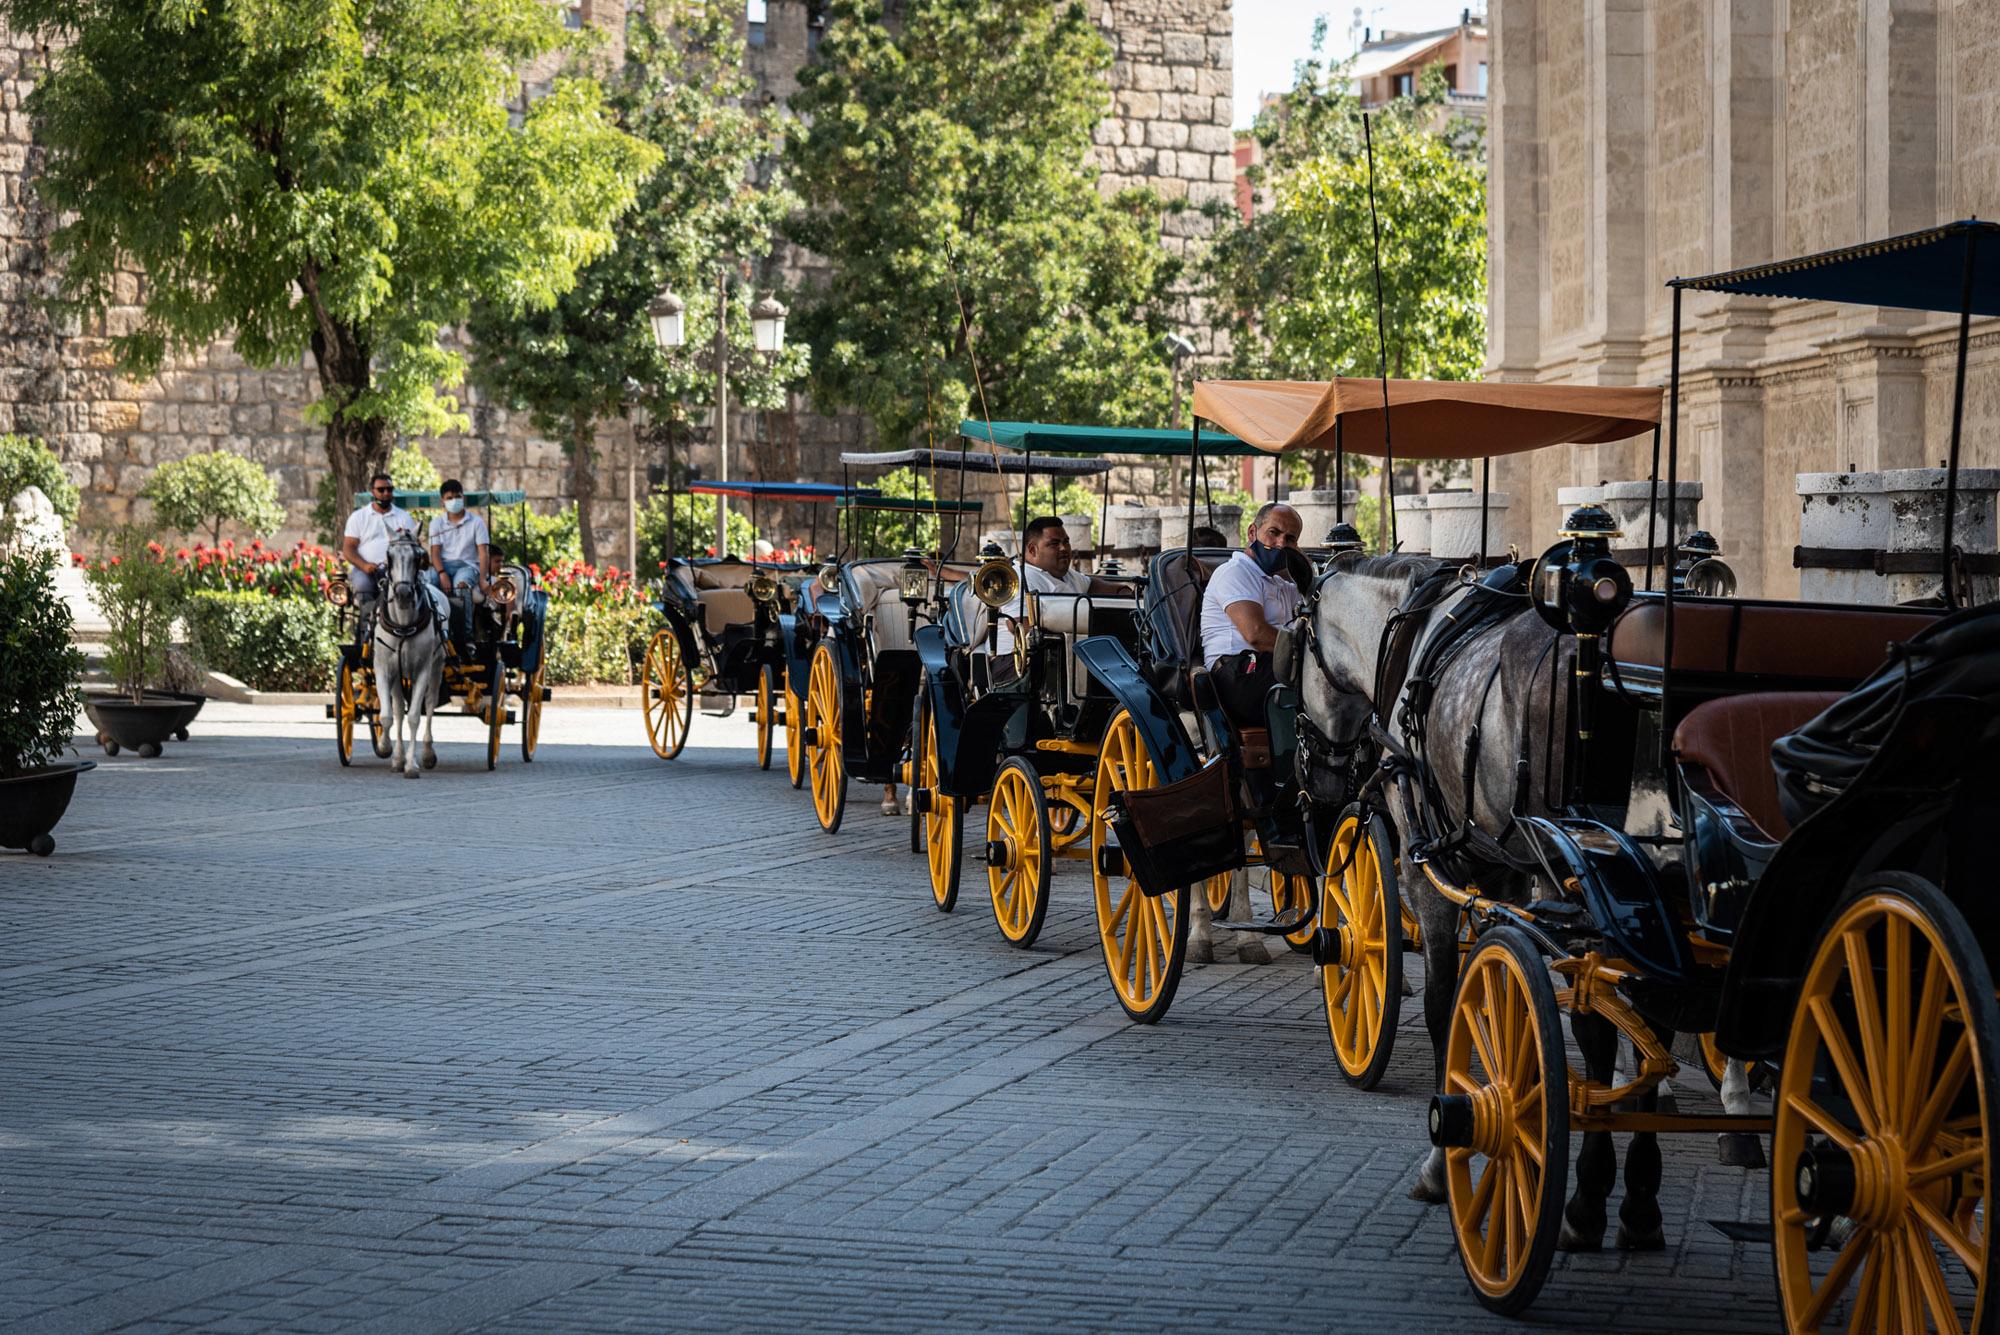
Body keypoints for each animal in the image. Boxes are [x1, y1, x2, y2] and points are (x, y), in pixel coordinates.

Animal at [372, 531, 446, 775]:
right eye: (389, 556)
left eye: (418, 557)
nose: (403, 593)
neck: (403, 624)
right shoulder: (383, 668)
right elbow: (388, 715)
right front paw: (388, 750)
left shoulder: (423, 669)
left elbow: (414, 716)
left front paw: (411, 764)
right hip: (398, 673)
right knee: (397, 709)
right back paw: (397, 755)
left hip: (437, 665)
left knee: (430, 705)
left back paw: (427, 752)